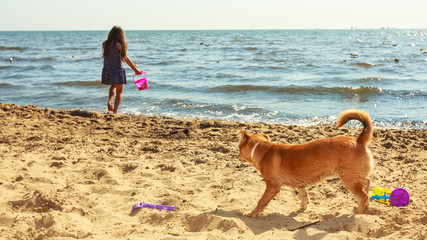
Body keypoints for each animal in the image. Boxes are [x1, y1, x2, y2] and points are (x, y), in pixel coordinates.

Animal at [239, 109, 372, 217]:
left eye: (239, 147)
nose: (237, 154)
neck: (262, 149)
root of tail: (358, 140)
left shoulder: (272, 186)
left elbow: (261, 201)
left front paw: (252, 214)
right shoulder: (300, 184)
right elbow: (303, 197)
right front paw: (301, 209)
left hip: (349, 179)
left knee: (363, 195)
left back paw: (358, 214)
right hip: (354, 177)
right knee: (367, 184)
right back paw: (367, 206)